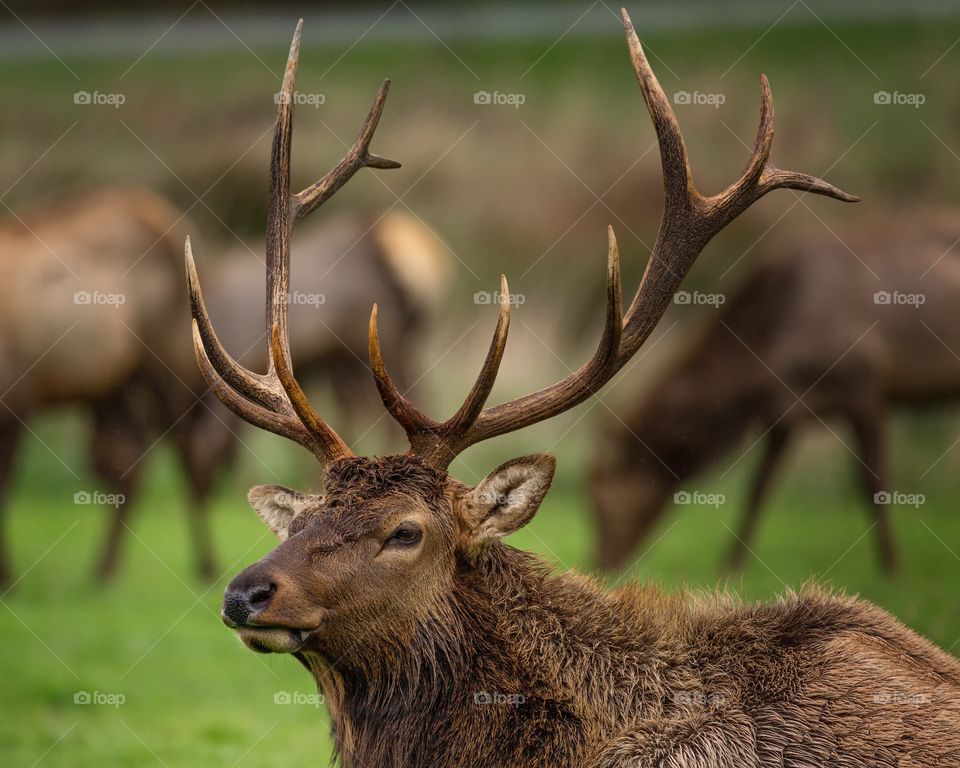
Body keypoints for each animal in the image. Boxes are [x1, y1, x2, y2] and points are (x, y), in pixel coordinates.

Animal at [588, 213, 960, 572]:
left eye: (601, 504)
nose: (602, 562)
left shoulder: (866, 384)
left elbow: (873, 482)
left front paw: (892, 565)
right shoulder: (784, 411)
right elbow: (759, 487)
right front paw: (730, 564)